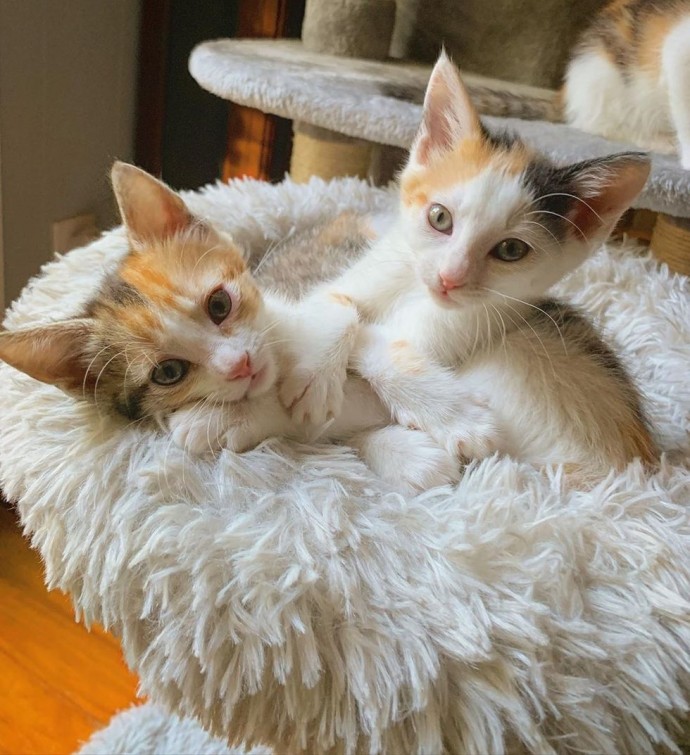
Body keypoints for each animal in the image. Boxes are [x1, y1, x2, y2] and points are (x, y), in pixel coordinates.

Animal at [0, 162, 462, 494]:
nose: (239, 364)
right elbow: (336, 418)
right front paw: (405, 454)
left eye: (219, 304)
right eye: (168, 373)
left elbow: (356, 331)